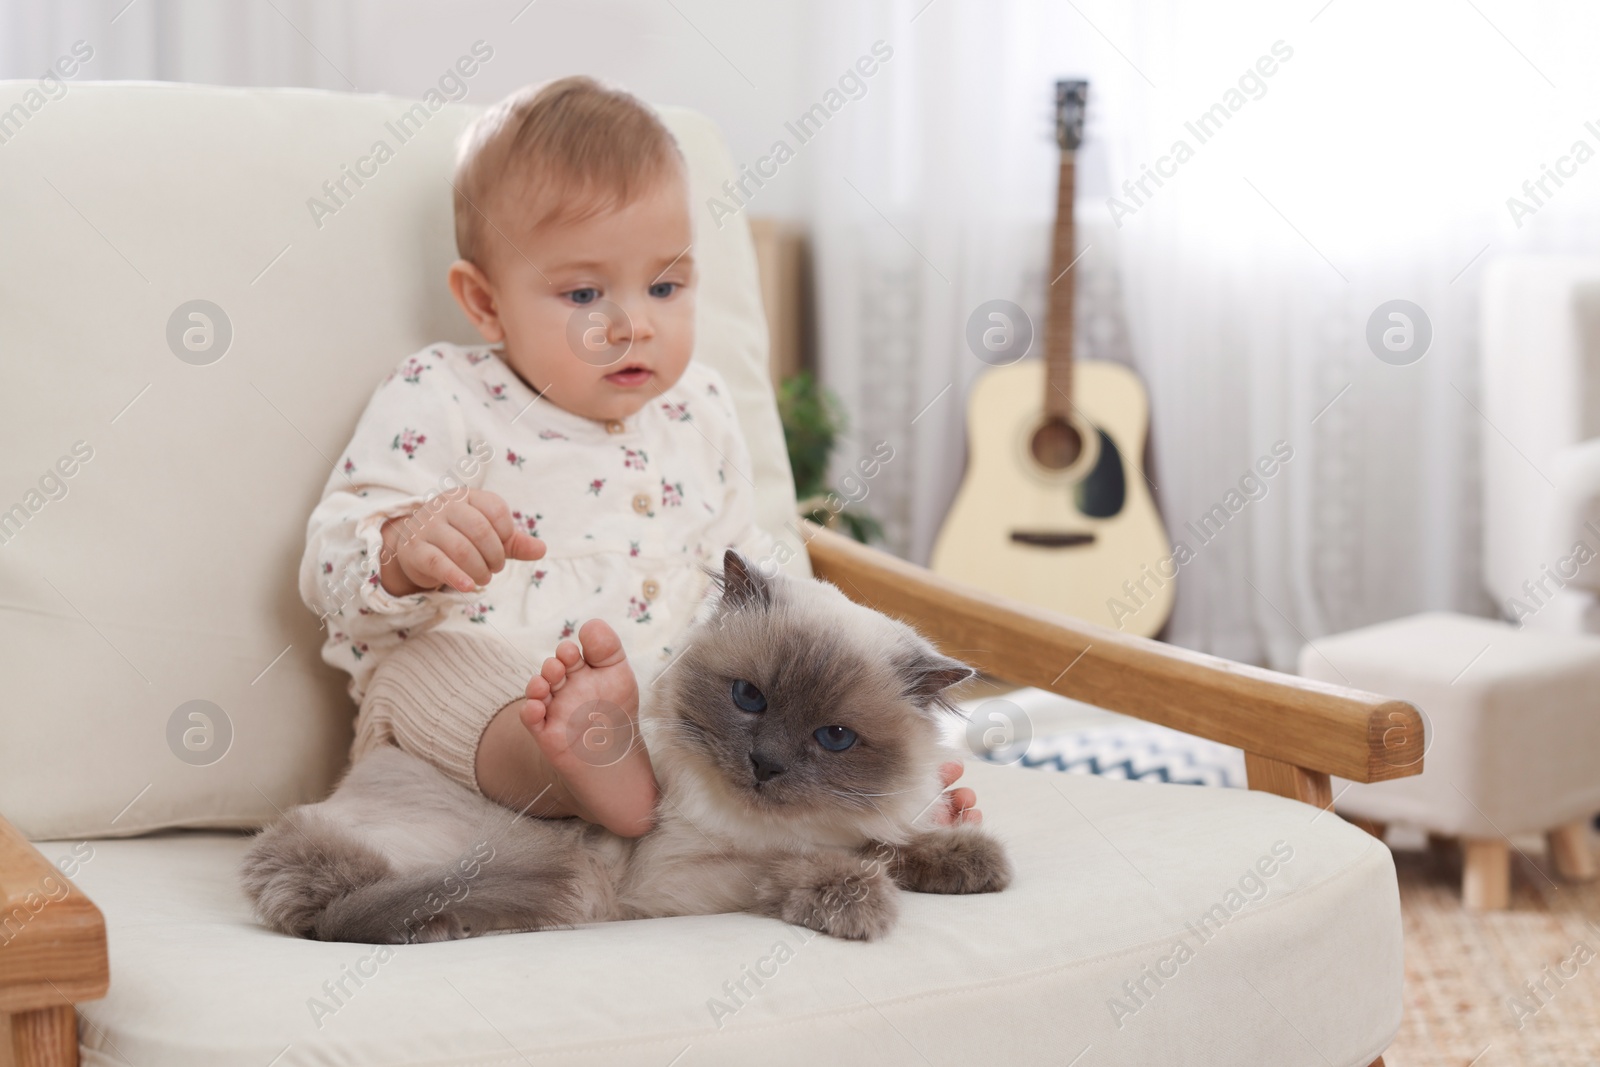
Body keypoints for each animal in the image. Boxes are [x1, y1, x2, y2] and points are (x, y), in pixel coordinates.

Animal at [236, 550, 1011, 940]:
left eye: (835, 737)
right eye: (749, 697)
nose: (765, 764)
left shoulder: (855, 823)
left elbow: (890, 841)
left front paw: (970, 858)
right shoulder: (680, 876)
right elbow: (803, 865)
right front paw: (858, 900)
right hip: (559, 869)